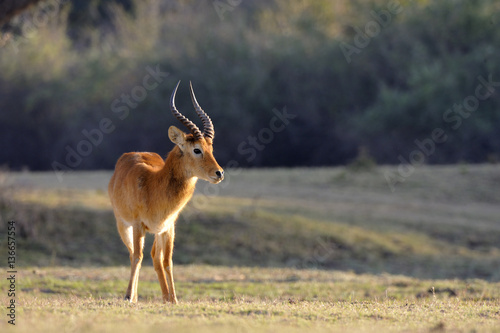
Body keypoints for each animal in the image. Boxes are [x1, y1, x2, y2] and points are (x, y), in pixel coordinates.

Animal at [108, 81, 224, 304]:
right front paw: (128, 296)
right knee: (133, 254)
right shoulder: (138, 225)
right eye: (197, 149)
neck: (154, 186)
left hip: (157, 231)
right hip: (123, 225)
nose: (219, 173)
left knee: (155, 257)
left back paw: (164, 297)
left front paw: (175, 299)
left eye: (211, 148)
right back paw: (133, 296)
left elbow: (168, 261)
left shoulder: (169, 226)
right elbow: (138, 256)